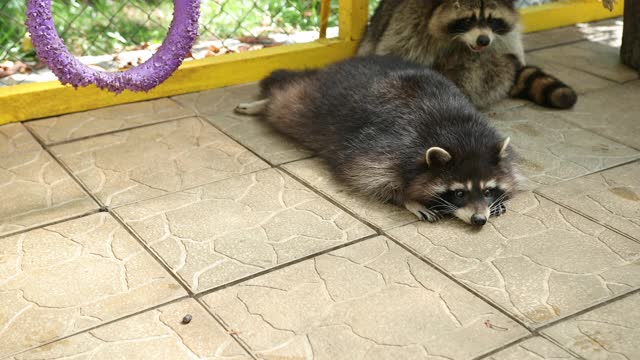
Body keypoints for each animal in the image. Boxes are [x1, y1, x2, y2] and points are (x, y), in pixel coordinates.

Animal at [235, 55, 520, 225]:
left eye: (487, 190)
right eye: (459, 193)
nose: (479, 220)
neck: (460, 133)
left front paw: (497, 202)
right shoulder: (384, 148)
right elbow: (367, 176)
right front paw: (408, 199)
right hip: (313, 105)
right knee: (286, 103)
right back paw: (264, 103)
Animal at [358, 0, 576, 109]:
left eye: (493, 20)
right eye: (468, 20)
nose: (483, 40)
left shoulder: (501, 38)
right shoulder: (410, 22)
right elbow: (395, 55)